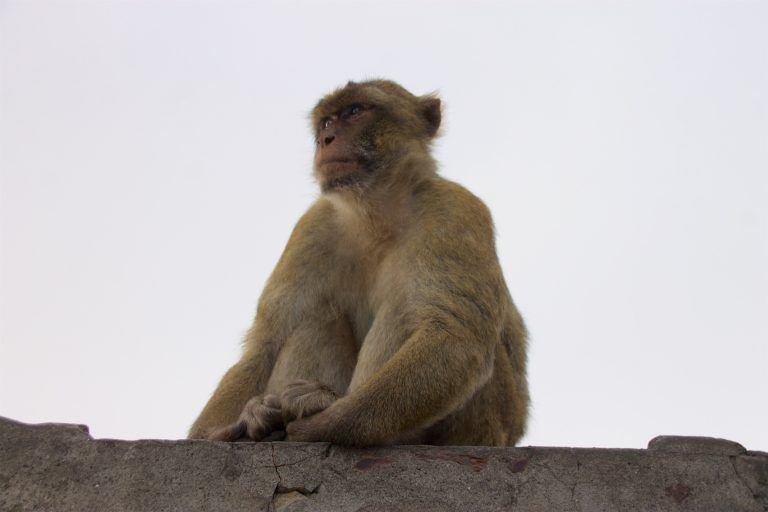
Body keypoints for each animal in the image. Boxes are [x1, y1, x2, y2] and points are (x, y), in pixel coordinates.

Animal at [188, 79, 529, 447]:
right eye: (326, 122)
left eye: (354, 111)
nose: (325, 139)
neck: (375, 216)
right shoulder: (312, 228)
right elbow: (265, 342)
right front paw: (227, 428)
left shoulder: (454, 210)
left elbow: (455, 335)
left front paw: (326, 423)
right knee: (317, 317)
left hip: (486, 425)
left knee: (402, 310)